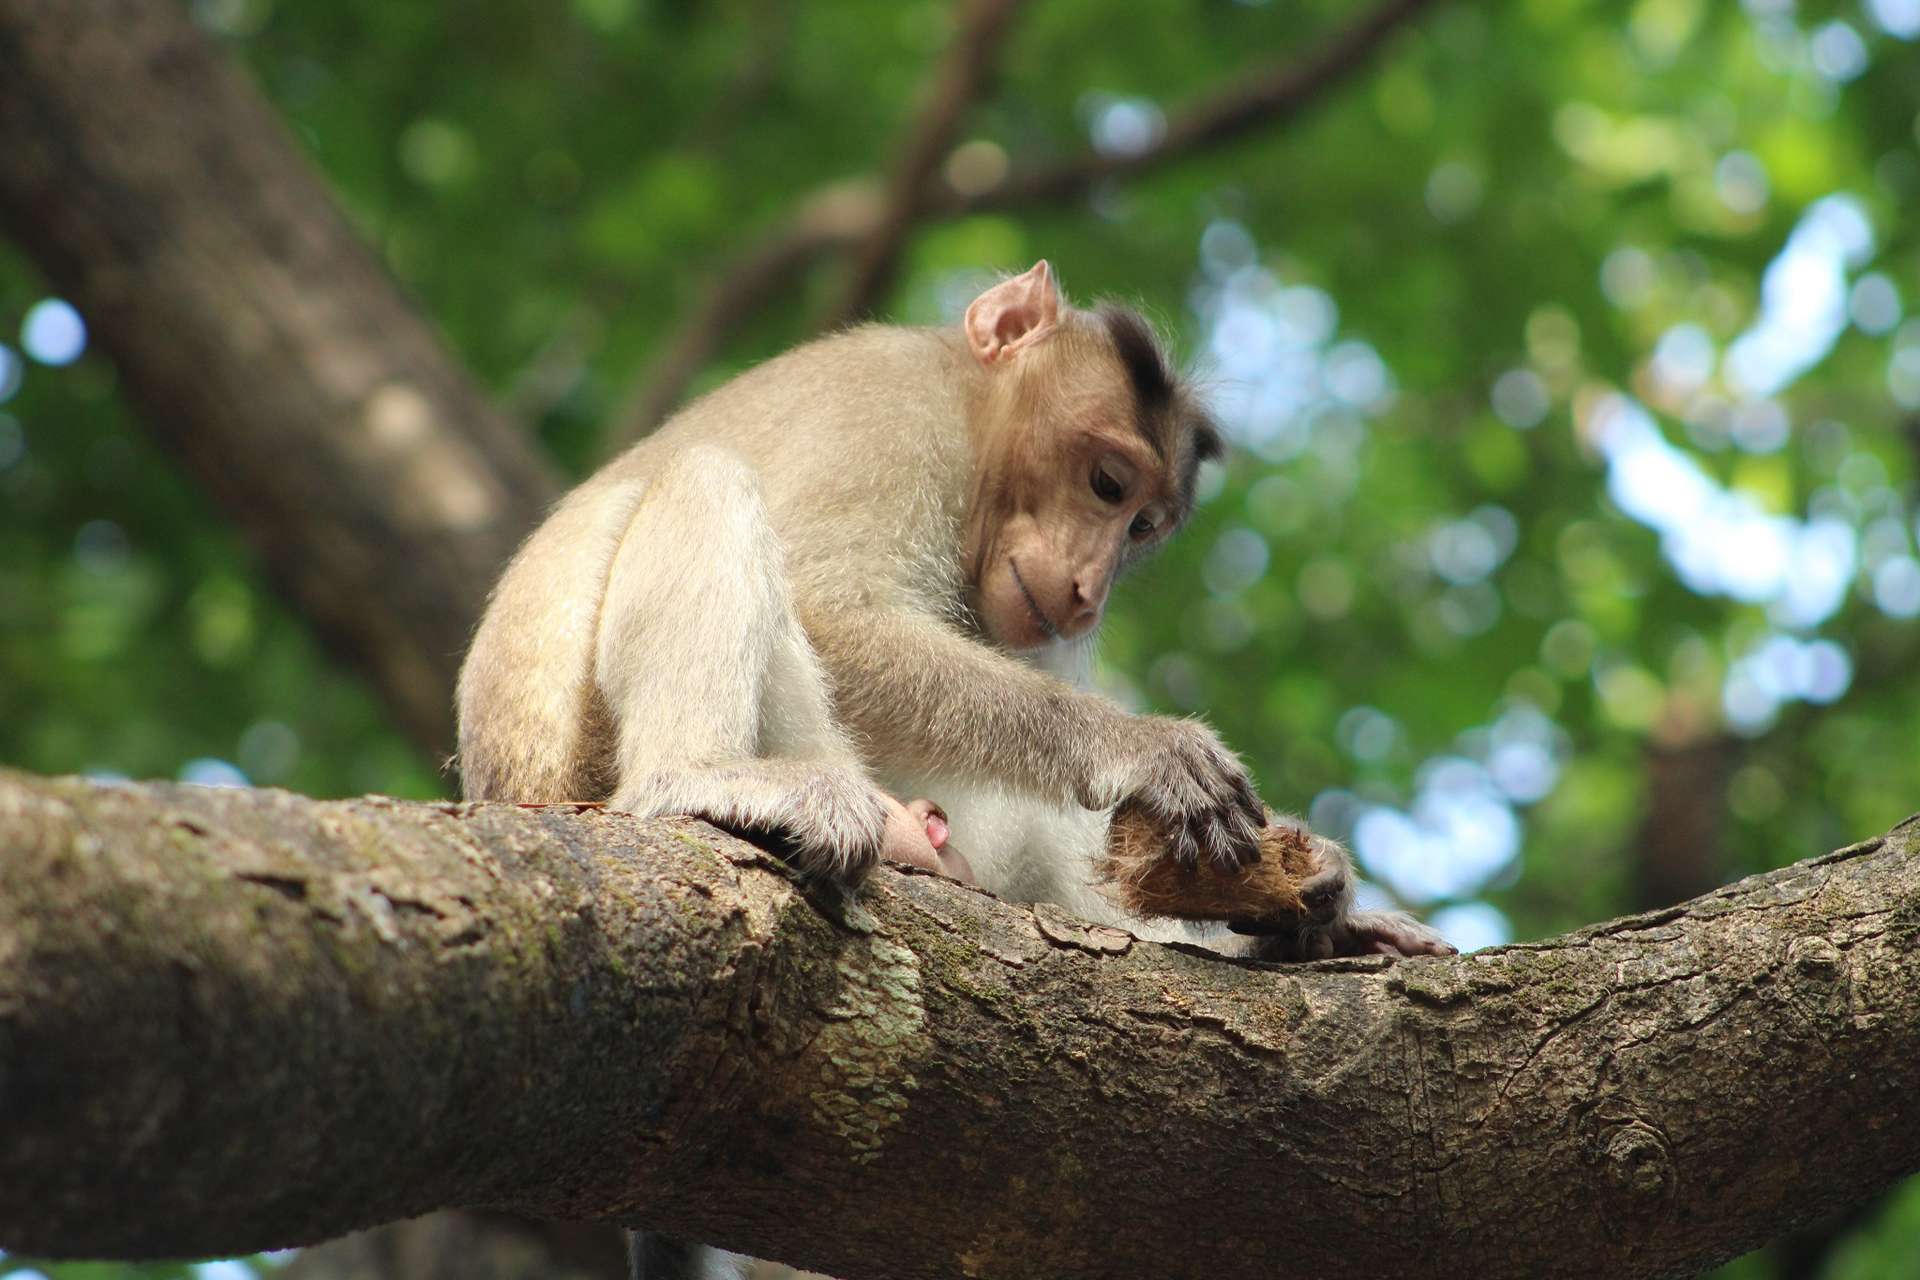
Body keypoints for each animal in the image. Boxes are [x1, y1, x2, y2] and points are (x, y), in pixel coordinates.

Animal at [456, 262, 1443, 1280]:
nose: (1088, 591)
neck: (974, 419)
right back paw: (703, 779)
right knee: (710, 481)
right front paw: (1143, 748)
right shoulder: (893, 417)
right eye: (1105, 482)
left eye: (1141, 526)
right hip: (587, 754)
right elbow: (832, 603)